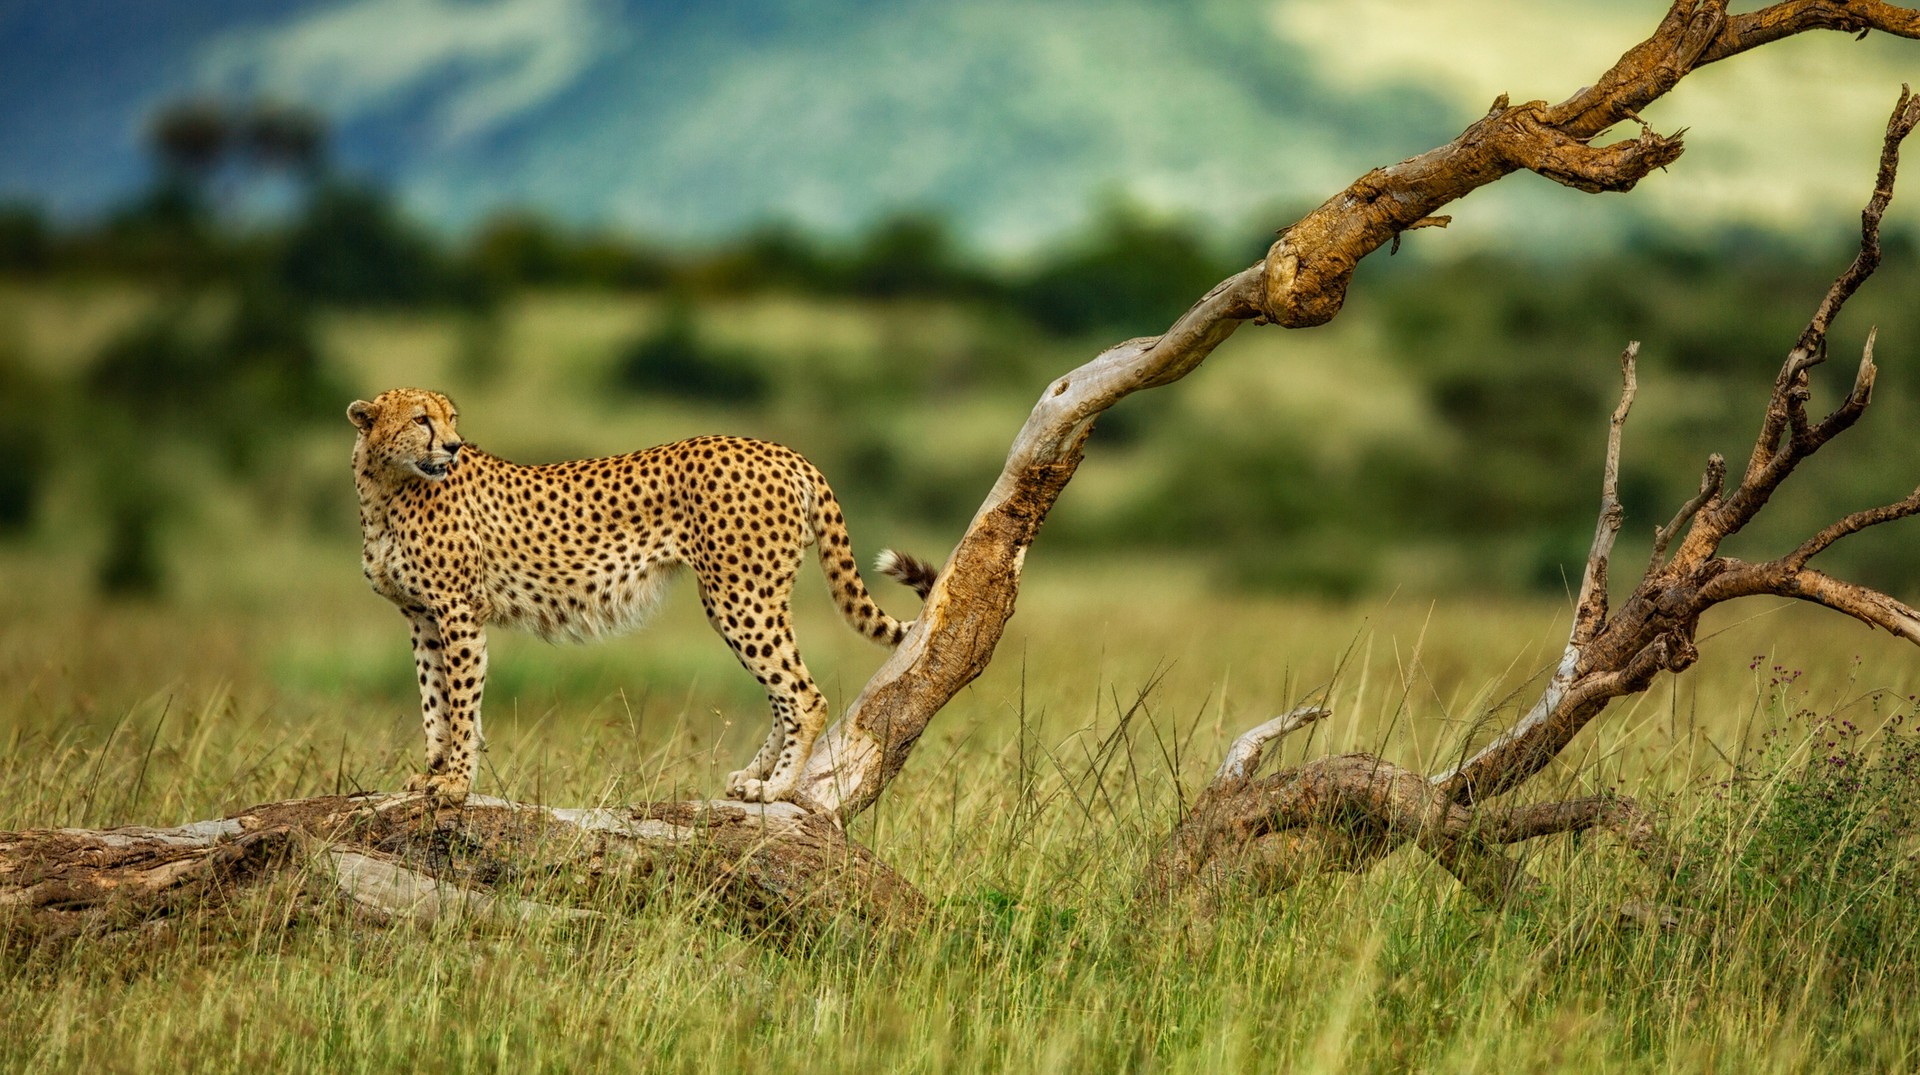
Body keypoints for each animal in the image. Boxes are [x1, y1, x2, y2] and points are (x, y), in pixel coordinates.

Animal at [348, 387, 936, 805]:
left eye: (450, 419)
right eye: (421, 419)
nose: (452, 446)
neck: (385, 489)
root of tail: (777, 449)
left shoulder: (459, 613)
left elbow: (461, 703)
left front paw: (454, 786)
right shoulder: (422, 616)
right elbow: (434, 703)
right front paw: (430, 774)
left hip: (741, 596)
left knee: (804, 695)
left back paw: (778, 789)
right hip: (740, 600)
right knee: (783, 695)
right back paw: (753, 778)